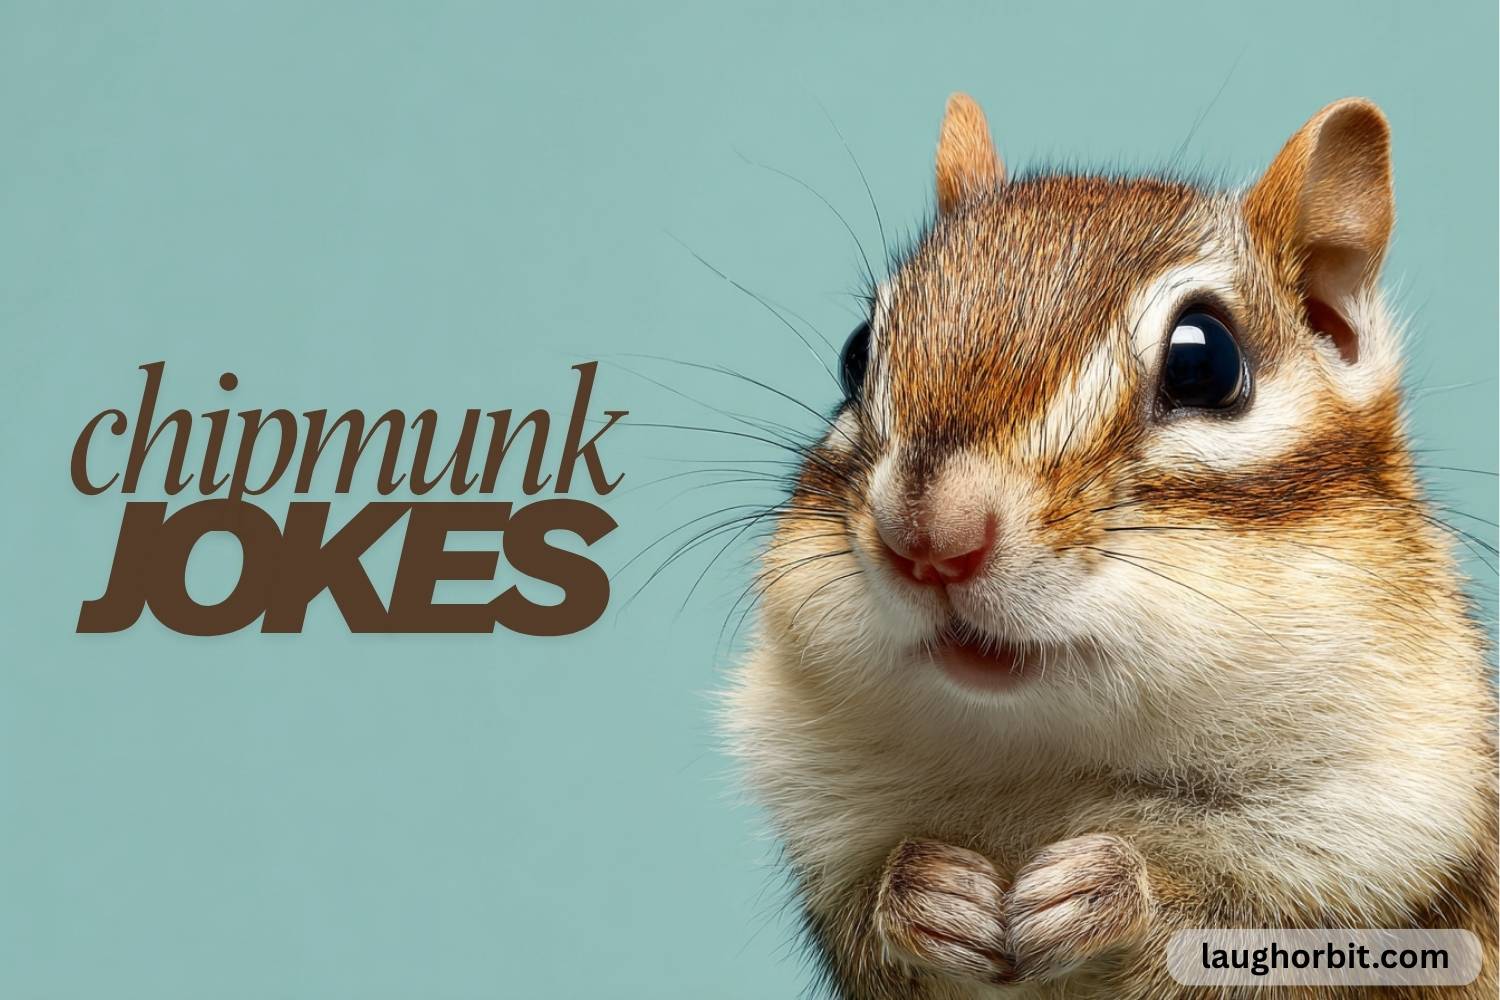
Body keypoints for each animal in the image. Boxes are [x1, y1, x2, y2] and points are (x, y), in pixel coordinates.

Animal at [725, 94, 1497, 998]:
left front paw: (1107, 887)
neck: (1051, 767)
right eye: (854, 354)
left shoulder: (1384, 856)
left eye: (1205, 361)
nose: (931, 539)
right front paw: (925, 893)